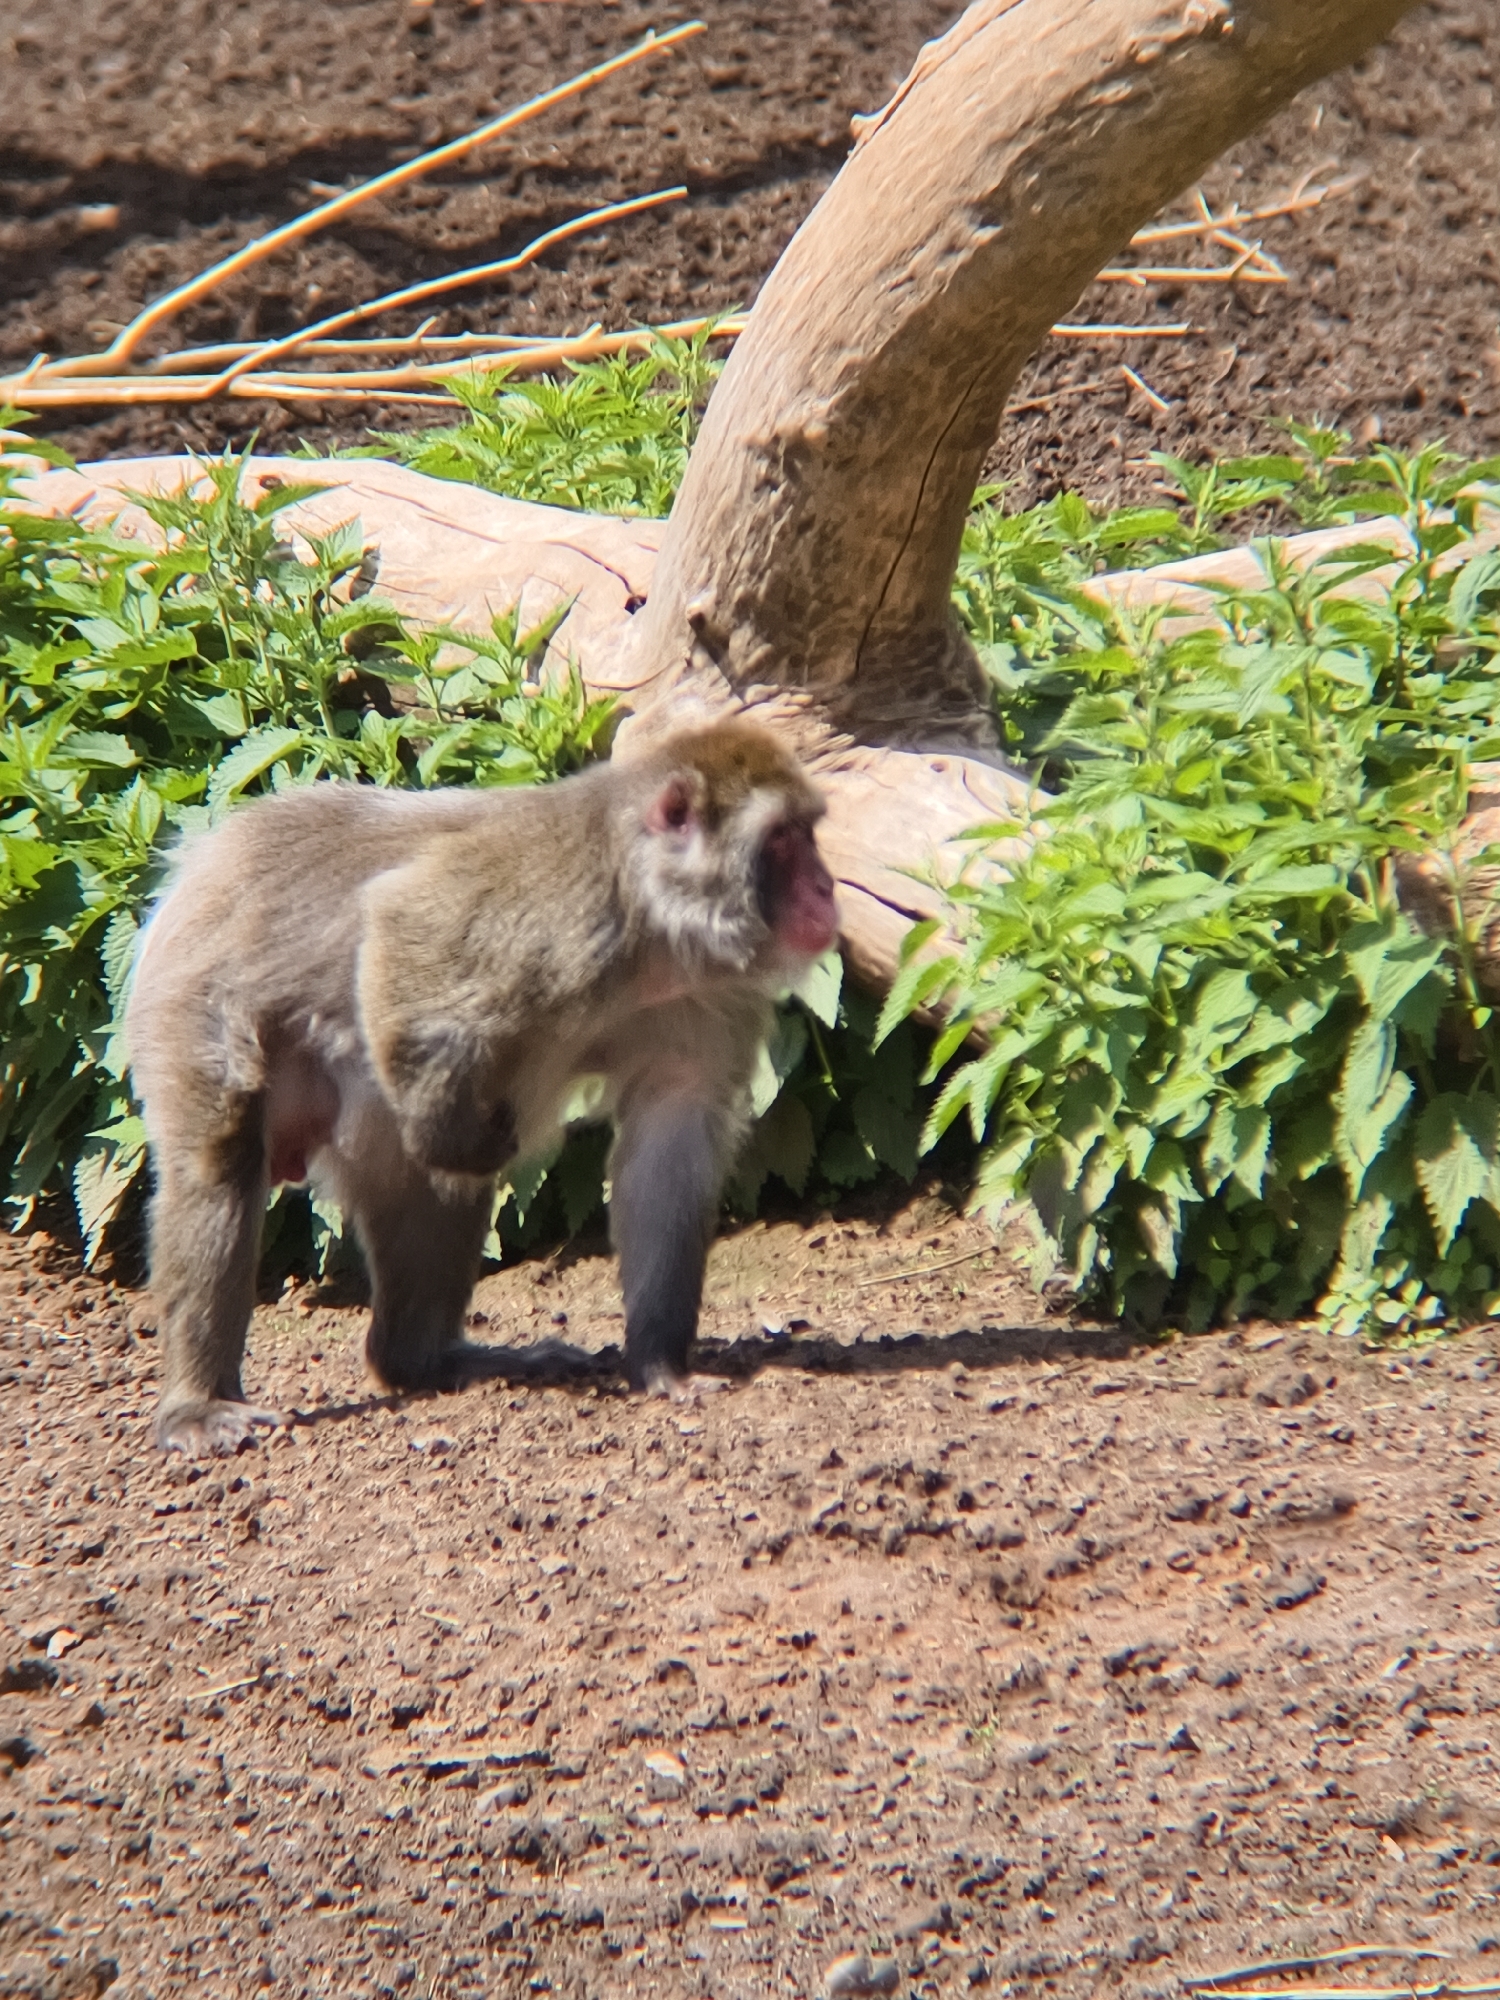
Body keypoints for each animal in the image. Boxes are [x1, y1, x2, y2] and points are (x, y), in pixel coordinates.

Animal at [124, 720, 840, 1455]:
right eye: (783, 840)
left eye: (807, 834)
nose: (824, 888)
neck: (655, 937)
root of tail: (202, 860)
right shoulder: (553, 907)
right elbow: (398, 928)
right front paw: (470, 1142)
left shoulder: (711, 997)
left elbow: (672, 1140)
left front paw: (662, 1363)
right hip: (195, 993)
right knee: (221, 1161)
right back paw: (199, 1402)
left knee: (423, 1192)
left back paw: (424, 1361)